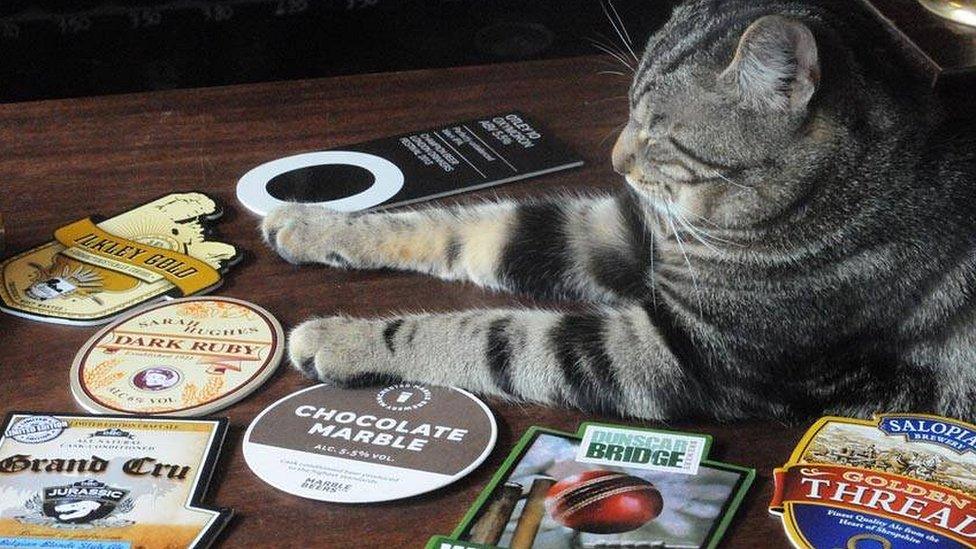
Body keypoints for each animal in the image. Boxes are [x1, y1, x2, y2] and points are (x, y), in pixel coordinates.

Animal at [260, 1, 976, 420]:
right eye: (628, 109)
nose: (614, 158)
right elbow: (463, 225)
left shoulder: (676, 355)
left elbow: (489, 335)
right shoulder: (627, 233)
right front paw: (313, 221)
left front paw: (344, 339)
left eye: (656, 132)